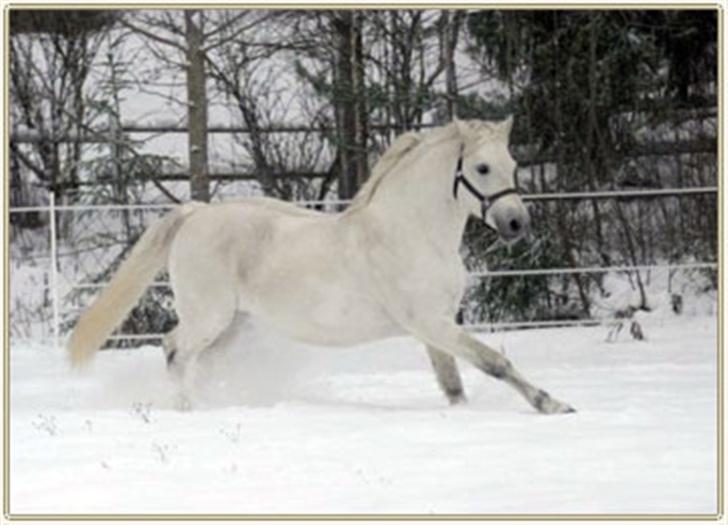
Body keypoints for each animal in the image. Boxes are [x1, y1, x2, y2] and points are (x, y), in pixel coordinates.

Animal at [71, 117, 576, 414]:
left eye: (513, 164)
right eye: (482, 168)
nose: (517, 224)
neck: (413, 232)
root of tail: (195, 213)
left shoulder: (434, 328)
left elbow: (452, 384)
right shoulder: (431, 322)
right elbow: (495, 362)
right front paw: (553, 405)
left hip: (232, 325)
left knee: (198, 360)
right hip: (207, 316)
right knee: (174, 349)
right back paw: (186, 410)